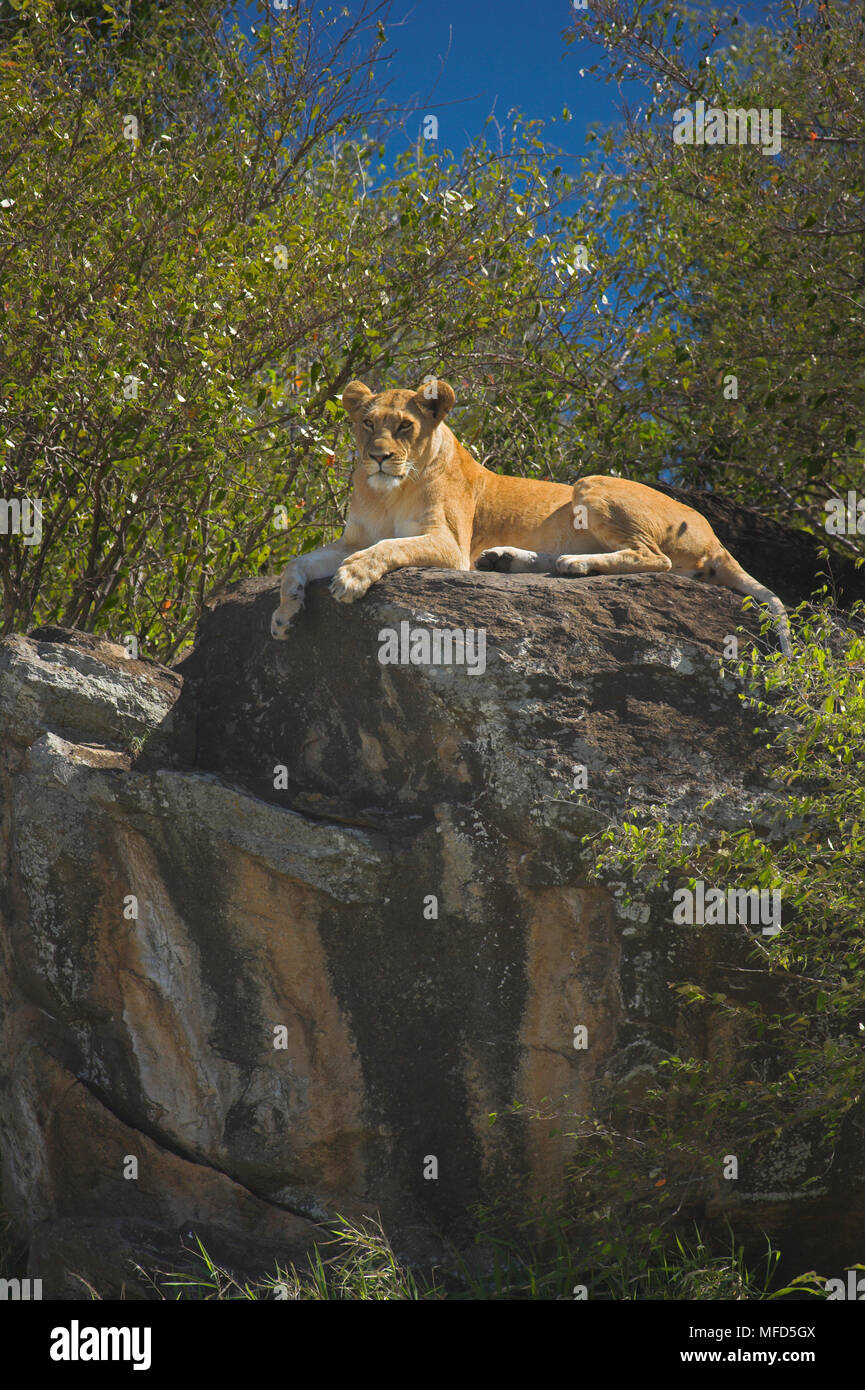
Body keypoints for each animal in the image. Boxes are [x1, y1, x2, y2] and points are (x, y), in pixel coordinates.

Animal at [270, 377, 792, 657]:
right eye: (366, 424)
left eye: (403, 426)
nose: (377, 457)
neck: (387, 493)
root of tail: (714, 534)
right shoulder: (351, 538)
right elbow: (296, 563)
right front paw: (285, 613)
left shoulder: (449, 544)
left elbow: (387, 547)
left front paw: (351, 578)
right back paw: (505, 559)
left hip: (591, 484)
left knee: (655, 559)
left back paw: (575, 565)